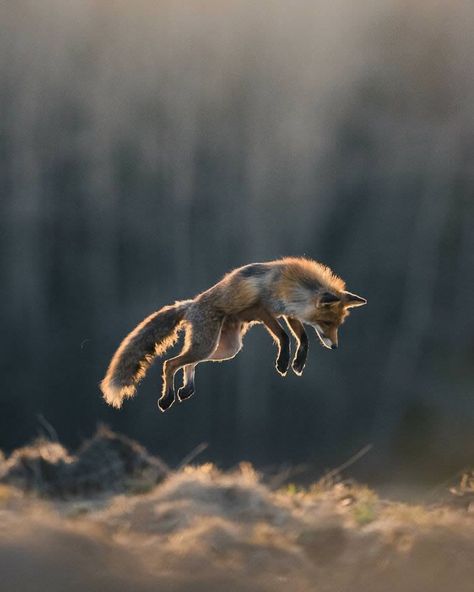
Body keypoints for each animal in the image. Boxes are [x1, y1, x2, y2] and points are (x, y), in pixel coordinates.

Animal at [101, 256, 366, 414]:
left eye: (338, 324)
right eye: (327, 323)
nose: (335, 347)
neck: (290, 288)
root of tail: (191, 304)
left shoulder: (289, 314)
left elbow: (304, 339)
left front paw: (298, 363)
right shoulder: (262, 310)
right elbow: (284, 337)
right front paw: (283, 363)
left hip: (225, 348)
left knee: (187, 363)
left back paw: (186, 389)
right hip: (208, 344)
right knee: (170, 363)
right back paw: (167, 398)